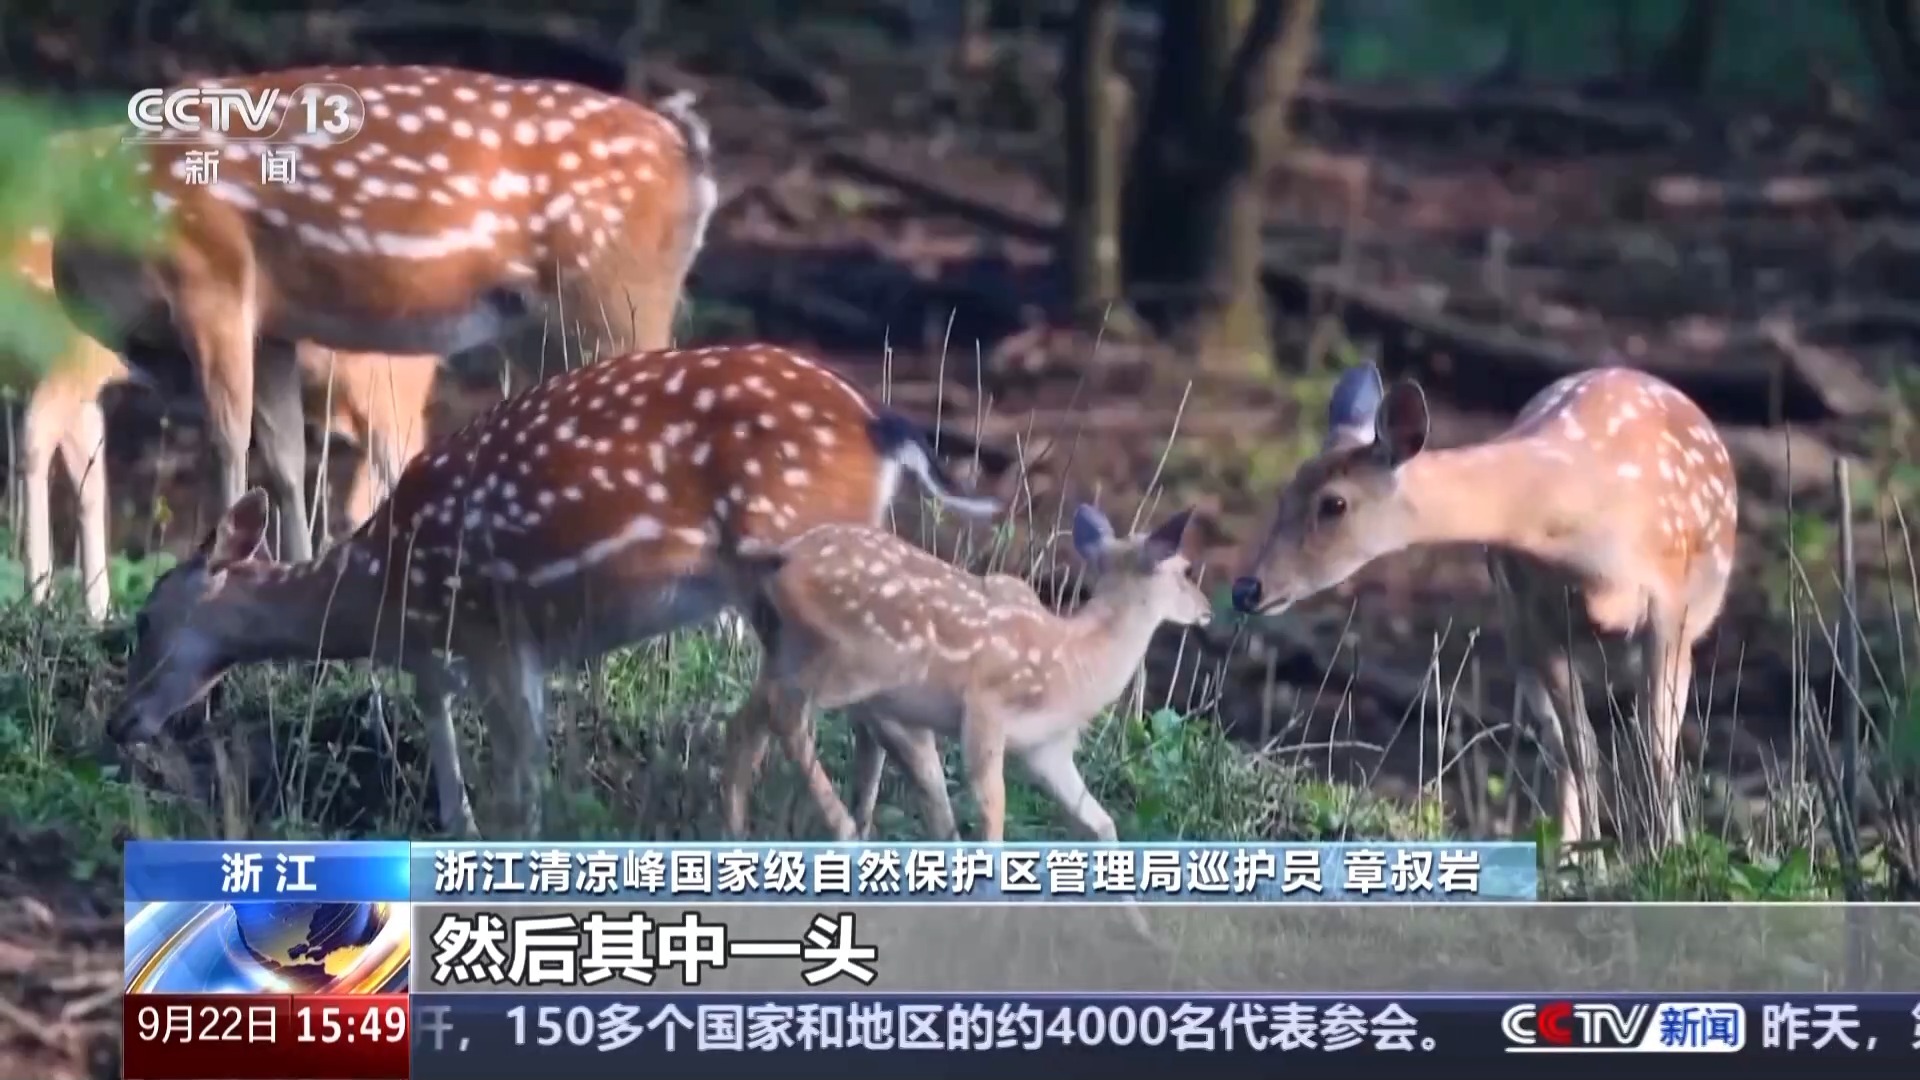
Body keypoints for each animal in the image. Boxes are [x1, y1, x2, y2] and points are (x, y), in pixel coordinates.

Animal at [54, 64, 719, 565]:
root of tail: (692, 161)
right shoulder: (274, 326)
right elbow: (286, 456)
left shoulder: (209, 276)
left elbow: (228, 440)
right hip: (557, 325)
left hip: (618, 293)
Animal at [106, 343, 1005, 840]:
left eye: (146, 617)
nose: (121, 720)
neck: (383, 589)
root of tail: (887, 429)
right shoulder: (451, 650)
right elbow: (447, 739)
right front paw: (458, 826)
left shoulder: (497, 628)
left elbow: (522, 774)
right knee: (880, 718)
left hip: (785, 562)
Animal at [719, 503, 1212, 845]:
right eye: (1186, 570)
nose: (1207, 609)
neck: (1077, 663)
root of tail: (782, 557)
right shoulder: (985, 713)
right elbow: (991, 815)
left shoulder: (1047, 749)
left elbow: (1102, 823)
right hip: (862, 660)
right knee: (785, 714)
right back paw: (841, 828)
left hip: (782, 651)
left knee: (747, 717)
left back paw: (737, 828)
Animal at [1229, 363, 1738, 854]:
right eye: (1285, 493)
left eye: (1334, 503)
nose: (1246, 588)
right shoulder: (1536, 615)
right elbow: (1583, 746)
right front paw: (1594, 863)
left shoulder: (1669, 608)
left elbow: (1653, 748)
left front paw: (1666, 857)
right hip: (1517, 631)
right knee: (1557, 745)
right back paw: (1564, 854)